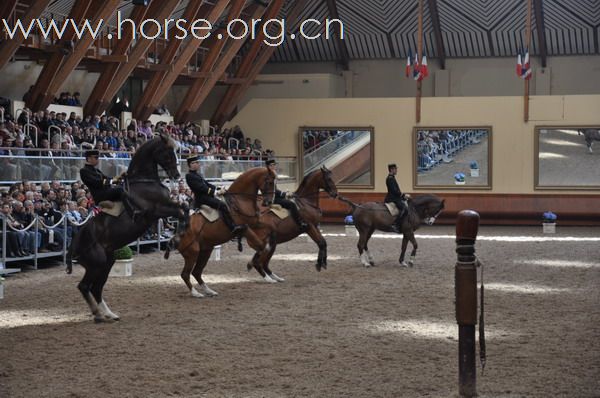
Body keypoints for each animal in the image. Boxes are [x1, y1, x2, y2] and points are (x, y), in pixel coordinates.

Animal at [65, 134, 183, 324]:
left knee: (96, 288)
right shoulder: (157, 210)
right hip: (96, 264)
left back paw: (109, 314)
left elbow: (184, 208)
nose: (177, 175)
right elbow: (182, 210)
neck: (144, 181)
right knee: (84, 286)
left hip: (107, 262)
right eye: (167, 152)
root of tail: (74, 243)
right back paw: (98, 315)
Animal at [169, 166, 276, 296]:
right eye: (269, 182)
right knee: (185, 274)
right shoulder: (245, 227)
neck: (240, 200)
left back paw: (209, 291)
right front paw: (255, 260)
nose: (269, 202)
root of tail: (177, 234)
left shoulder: (255, 223)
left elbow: (270, 229)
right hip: (192, 253)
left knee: (196, 272)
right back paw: (196, 293)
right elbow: (260, 244)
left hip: (205, 251)